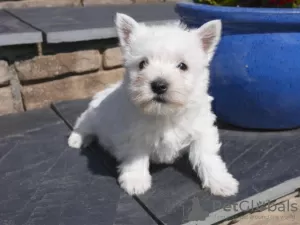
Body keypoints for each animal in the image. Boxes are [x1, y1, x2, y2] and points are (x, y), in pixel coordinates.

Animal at [68, 13, 239, 197]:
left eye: (182, 66)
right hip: (92, 115)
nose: (159, 85)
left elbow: (207, 157)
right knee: (83, 124)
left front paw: (221, 182)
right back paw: (76, 139)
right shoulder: (133, 135)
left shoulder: (202, 130)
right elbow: (136, 157)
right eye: (142, 63)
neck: (165, 114)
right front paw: (135, 181)